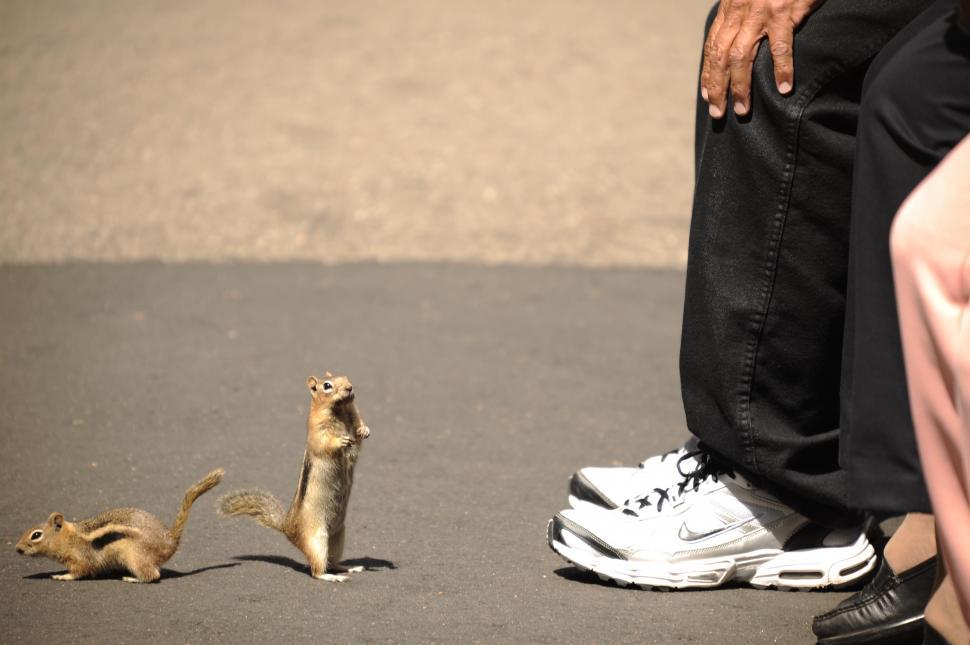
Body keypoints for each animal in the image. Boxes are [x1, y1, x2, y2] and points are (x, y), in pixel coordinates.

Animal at [15, 468, 224, 583]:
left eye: (36, 535)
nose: (17, 549)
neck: (69, 537)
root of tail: (170, 540)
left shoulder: (81, 559)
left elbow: (79, 572)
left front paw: (62, 576)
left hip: (135, 556)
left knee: (153, 575)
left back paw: (132, 578)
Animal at [219, 372, 371, 582]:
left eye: (346, 377)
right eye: (327, 385)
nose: (349, 388)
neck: (340, 412)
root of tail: (288, 528)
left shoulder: (353, 422)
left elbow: (358, 436)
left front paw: (365, 430)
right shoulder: (317, 432)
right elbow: (325, 443)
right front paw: (340, 440)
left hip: (338, 537)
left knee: (333, 562)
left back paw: (350, 568)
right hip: (317, 541)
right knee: (317, 571)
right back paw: (332, 577)